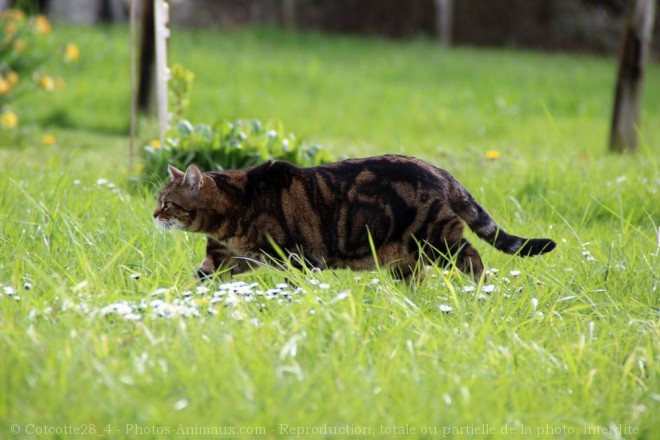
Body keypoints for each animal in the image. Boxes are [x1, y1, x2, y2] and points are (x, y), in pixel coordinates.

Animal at [155, 155, 556, 282]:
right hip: (405, 256)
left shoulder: (300, 259)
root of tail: (440, 170)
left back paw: (478, 291)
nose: (153, 214)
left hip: (437, 238)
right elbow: (199, 278)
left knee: (474, 256)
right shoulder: (223, 260)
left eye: (167, 203)